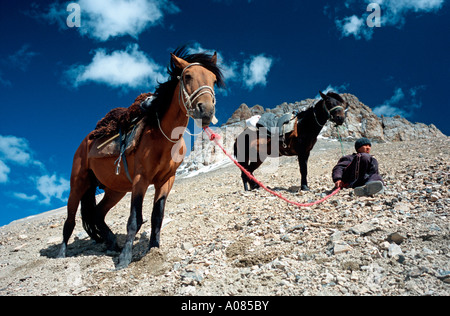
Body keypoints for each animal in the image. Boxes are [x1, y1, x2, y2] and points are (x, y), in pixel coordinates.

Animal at [57, 47, 224, 270]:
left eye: (213, 80)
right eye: (187, 76)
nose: (206, 110)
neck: (163, 137)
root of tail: (86, 141)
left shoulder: (166, 180)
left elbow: (157, 216)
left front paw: (153, 249)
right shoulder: (140, 180)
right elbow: (134, 219)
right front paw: (125, 259)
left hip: (115, 190)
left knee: (98, 214)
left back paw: (112, 243)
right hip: (78, 184)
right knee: (70, 220)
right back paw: (62, 254)